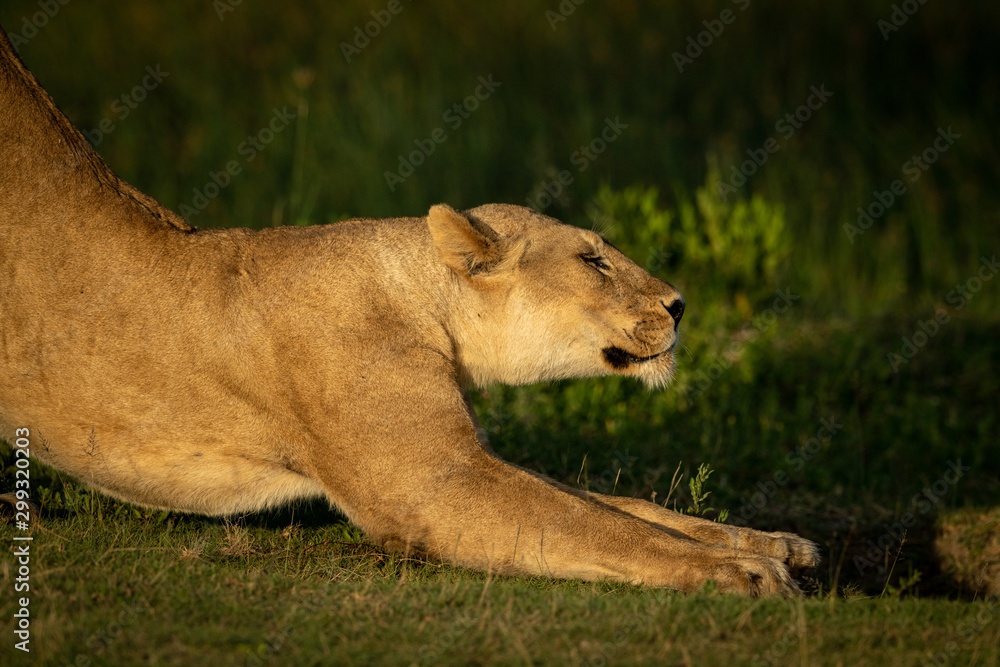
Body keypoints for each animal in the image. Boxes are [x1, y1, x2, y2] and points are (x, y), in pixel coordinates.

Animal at [0, 29, 818, 596]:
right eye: (592, 259)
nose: (680, 304)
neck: (428, 309)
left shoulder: (462, 456)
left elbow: (619, 506)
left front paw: (769, 543)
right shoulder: (438, 483)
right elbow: (600, 527)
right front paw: (746, 572)